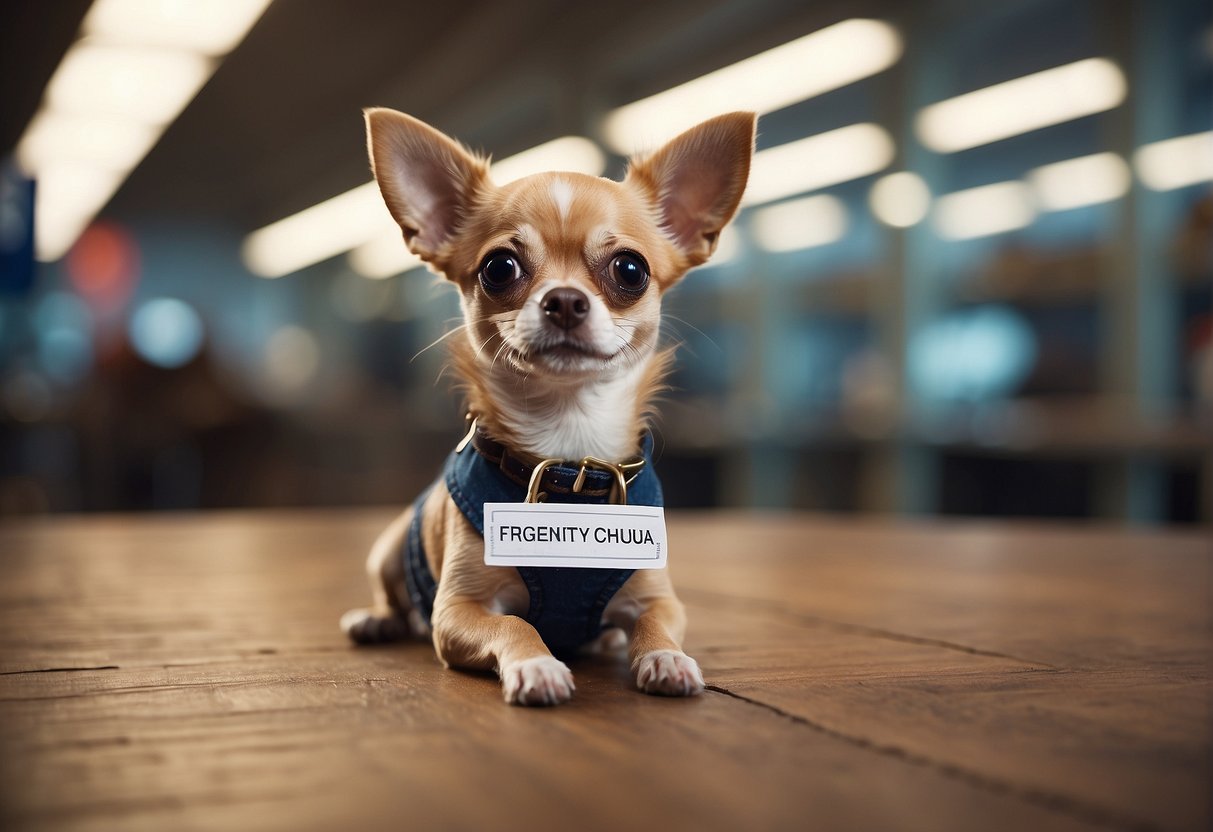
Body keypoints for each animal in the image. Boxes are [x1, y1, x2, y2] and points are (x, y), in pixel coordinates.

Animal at [342, 104, 752, 708]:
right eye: (499, 268)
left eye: (631, 270)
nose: (564, 300)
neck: (569, 447)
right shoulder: (456, 612)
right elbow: (515, 623)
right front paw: (536, 666)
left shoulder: (658, 595)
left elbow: (656, 623)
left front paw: (665, 658)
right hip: (390, 546)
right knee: (392, 594)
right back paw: (375, 620)